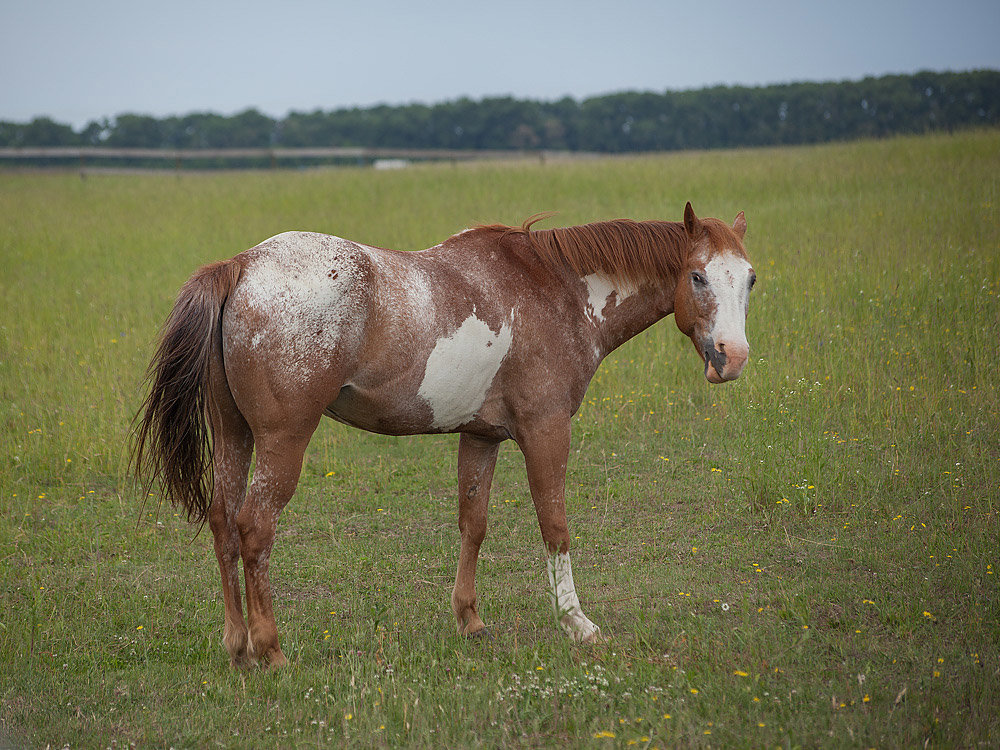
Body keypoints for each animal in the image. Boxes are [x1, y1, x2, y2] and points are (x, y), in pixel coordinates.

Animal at [135, 201, 756, 668]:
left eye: (749, 279)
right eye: (697, 275)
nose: (733, 358)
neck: (557, 289)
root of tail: (240, 265)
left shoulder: (482, 438)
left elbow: (473, 525)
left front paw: (470, 619)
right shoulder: (546, 430)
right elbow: (555, 527)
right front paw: (578, 624)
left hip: (234, 435)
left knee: (222, 521)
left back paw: (238, 645)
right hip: (282, 442)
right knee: (254, 528)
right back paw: (271, 651)